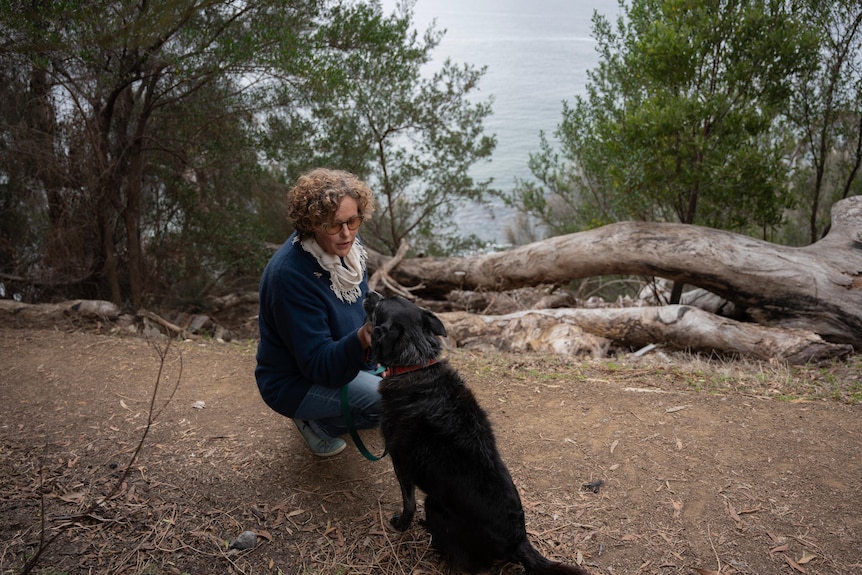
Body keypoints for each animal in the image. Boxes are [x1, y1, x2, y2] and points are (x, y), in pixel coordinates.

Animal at [364, 294, 592, 575]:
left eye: (381, 305)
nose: (369, 294)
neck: (416, 365)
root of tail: (519, 544)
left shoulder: (401, 464)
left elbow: (408, 503)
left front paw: (401, 524)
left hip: (433, 505)